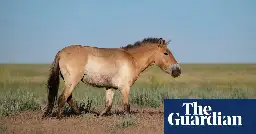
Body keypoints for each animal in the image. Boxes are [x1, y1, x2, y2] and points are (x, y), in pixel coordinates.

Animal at [42, 37, 182, 119]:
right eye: (166, 53)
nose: (178, 71)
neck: (132, 59)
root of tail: (61, 52)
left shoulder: (110, 87)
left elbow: (108, 105)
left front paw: (99, 116)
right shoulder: (125, 88)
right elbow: (126, 106)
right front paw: (128, 119)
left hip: (69, 82)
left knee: (68, 98)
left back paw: (79, 114)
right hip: (72, 81)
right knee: (62, 98)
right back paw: (60, 117)